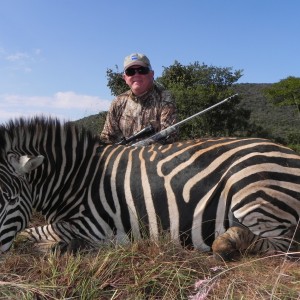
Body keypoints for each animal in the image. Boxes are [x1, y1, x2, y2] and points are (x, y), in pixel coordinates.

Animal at [0, 117, 298, 260]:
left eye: (11, 200)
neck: (77, 178)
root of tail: (290, 152)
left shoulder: (94, 227)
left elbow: (35, 236)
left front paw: (51, 247)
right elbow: (31, 232)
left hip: (252, 194)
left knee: (285, 244)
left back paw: (226, 243)